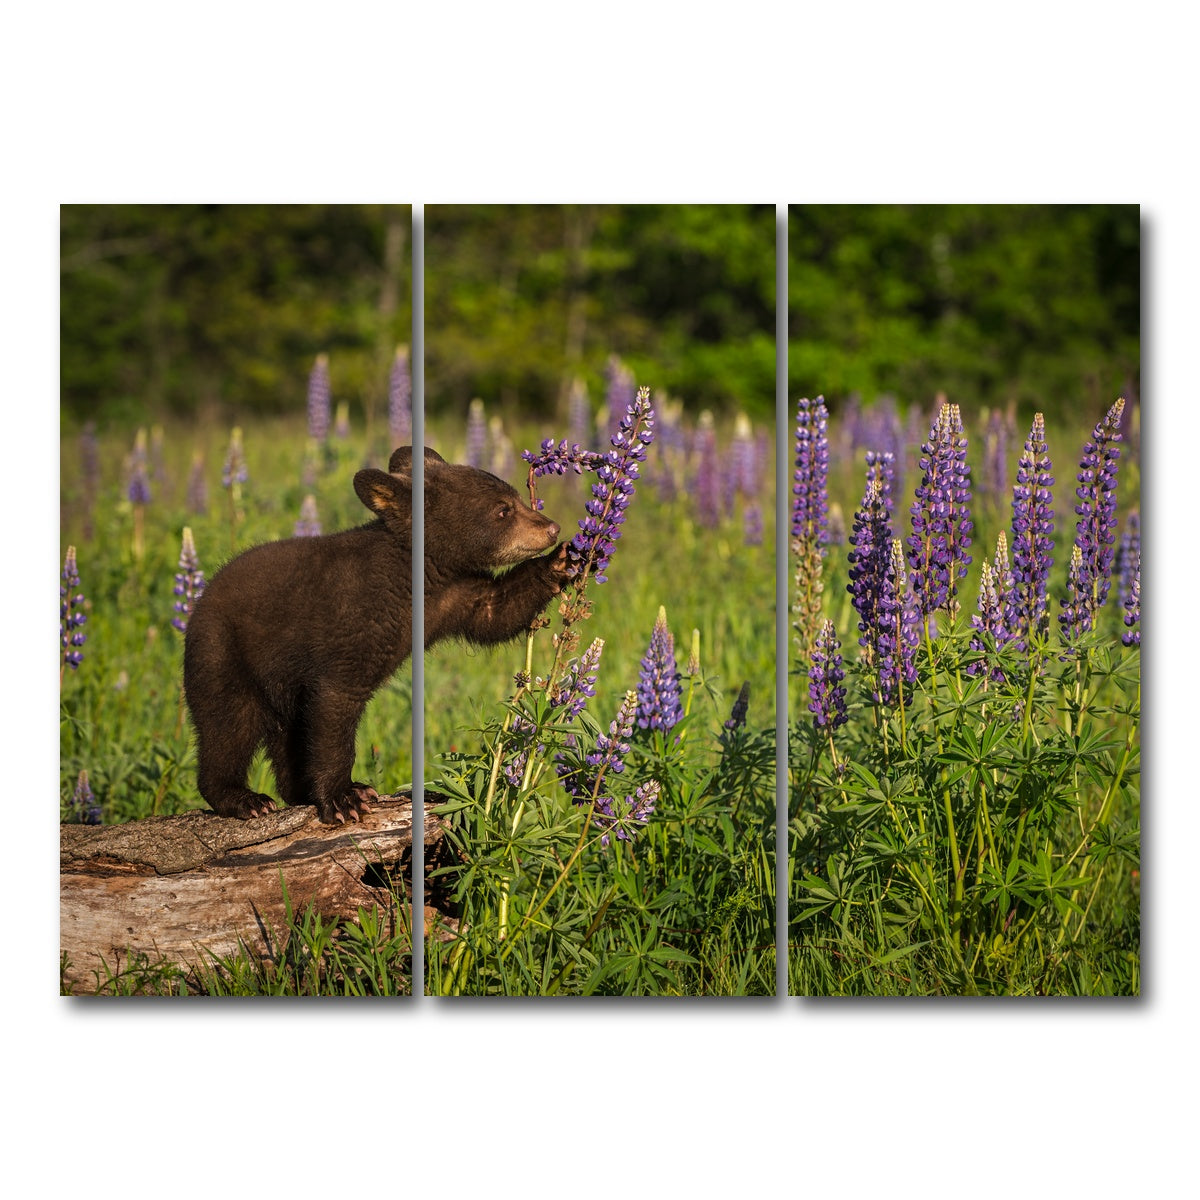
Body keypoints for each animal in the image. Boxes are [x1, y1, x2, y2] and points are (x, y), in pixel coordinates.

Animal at [183, 446, 569, 824]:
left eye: (516, 497)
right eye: (502, 510)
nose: (552, 527)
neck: (417, 576)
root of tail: (199, 603)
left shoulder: (453, 595)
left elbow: (495, 611)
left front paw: (562, 561)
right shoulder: (350, 625)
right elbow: (335, 707)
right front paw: (344, 798)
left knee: (286, 733)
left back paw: (297, 792)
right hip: (223, 654)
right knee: (228, 725)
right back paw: (244, 799)